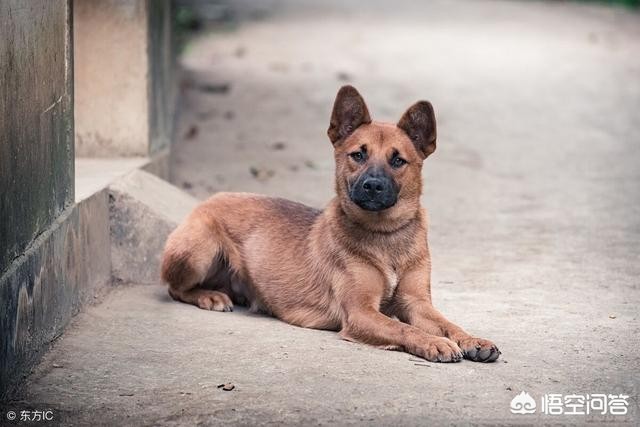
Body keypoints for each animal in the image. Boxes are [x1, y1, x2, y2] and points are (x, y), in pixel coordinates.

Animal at [161, 86, 500, 364]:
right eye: (358, 155)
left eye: (398, 161)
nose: (373, 186)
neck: (385, 235)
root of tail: (207, 200)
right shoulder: (361, 313)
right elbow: (402, 328)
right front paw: (434, 343)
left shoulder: (417, 303)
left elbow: (448, 323)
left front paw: (472, 339)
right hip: (198, 250)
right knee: (174, 288)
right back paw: (209, 296)